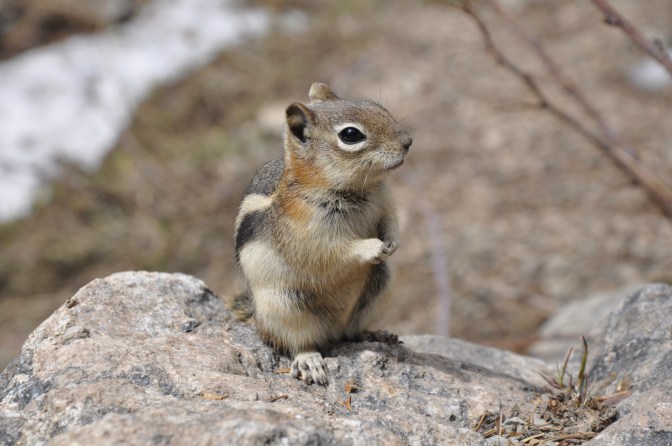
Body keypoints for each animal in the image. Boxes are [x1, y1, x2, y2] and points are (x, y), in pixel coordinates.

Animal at [232, 82, 412, 385]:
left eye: (377, 107)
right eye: (351, 134)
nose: (408, 141)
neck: (356, 190)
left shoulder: (385, 201)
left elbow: (390, 220)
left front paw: (392, 241)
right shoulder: (304, 235)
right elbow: (328, 252)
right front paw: (372, 247)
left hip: (380, 285)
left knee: (351, 332)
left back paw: (376, 334)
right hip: (284, 306)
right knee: (297, 342)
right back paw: (310, 360)